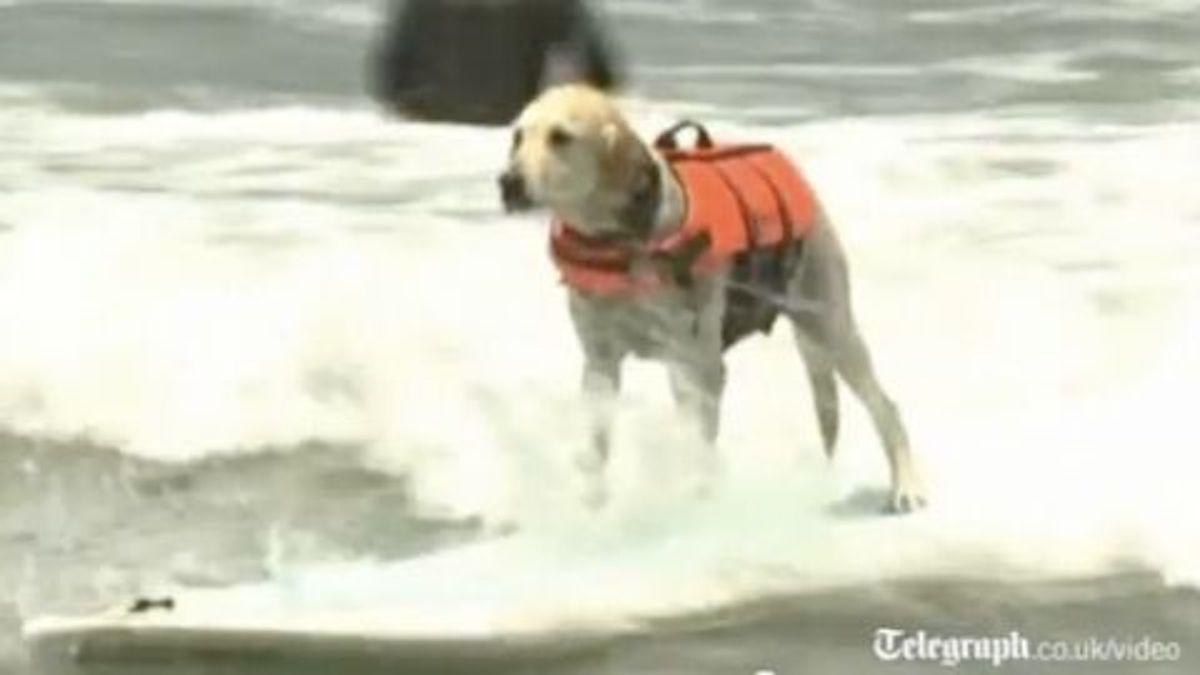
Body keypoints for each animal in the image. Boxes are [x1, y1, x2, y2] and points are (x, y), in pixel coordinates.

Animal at [496, 85, 926, 514]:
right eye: (517, 137)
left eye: (561, 137)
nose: (508, 182)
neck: (619, 243)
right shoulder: (601, 364)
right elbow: (598, 444)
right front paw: (593, 503)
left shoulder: (700, 369)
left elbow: (698, 449)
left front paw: (697, 503)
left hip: (831, 329)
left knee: (887, 407)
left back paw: (906, 485)